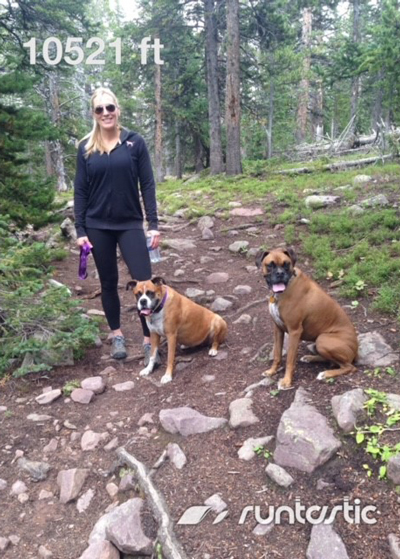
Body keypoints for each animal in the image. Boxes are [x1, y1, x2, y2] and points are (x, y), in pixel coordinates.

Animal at [258, 247, 358, 392]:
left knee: (349, 367)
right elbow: (277, 354)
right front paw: (272, 371)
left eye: (286, 264)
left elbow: (290, 360)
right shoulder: (277, 329)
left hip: (323, 339)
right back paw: (310, 358)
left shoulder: (295, 331)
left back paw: (326, 373)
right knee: (331, 361)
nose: (280, 273)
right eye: (270, 265)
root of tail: (356, 351)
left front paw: (286, 381)